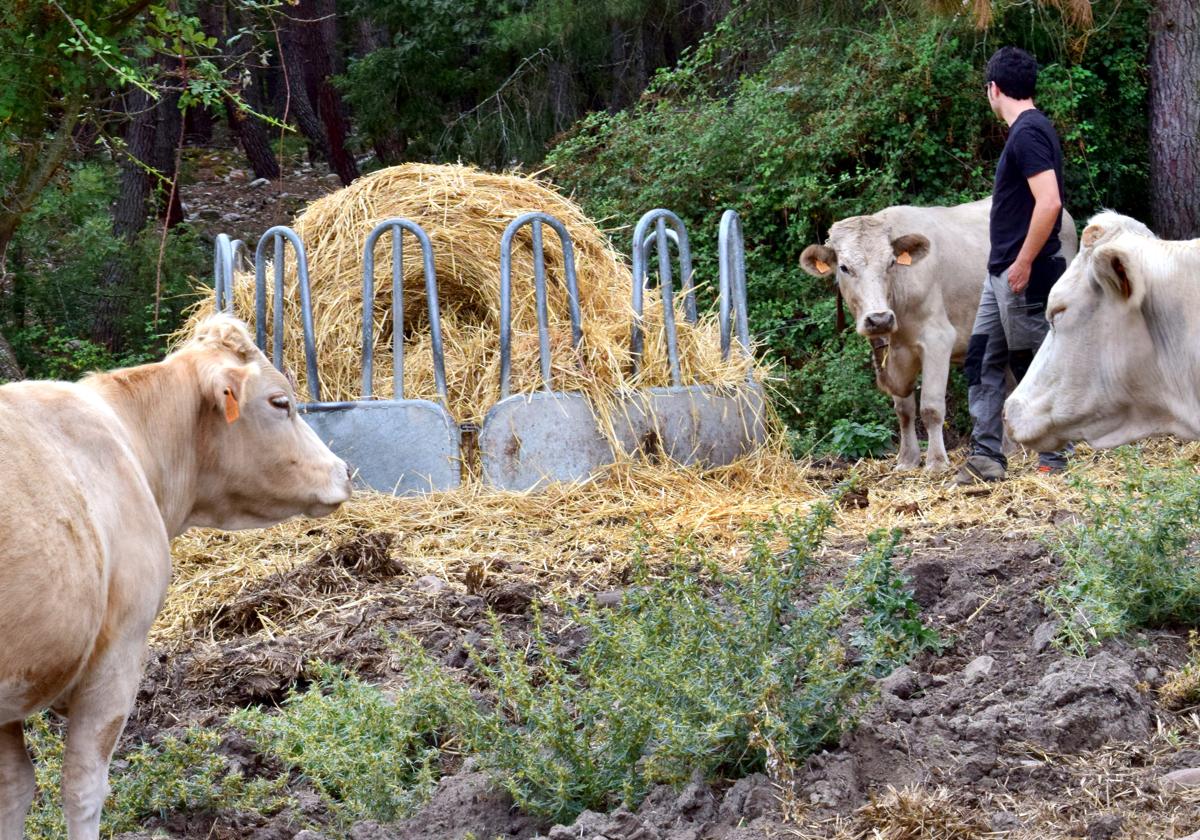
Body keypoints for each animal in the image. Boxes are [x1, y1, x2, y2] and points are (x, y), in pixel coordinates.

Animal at [801, 198, 1084, 472]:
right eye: (844, 268)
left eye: (890, 263)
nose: (879, 318)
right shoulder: (896, 354)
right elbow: (904, 411)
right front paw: (907, 459)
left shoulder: (937, 339)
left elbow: (931, 406)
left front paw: (936, 461)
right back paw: (1009, 449)